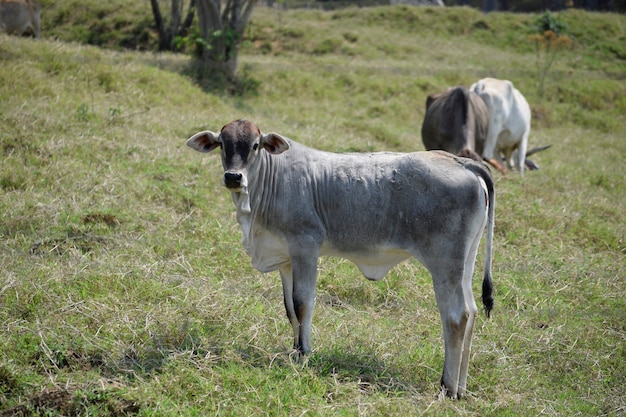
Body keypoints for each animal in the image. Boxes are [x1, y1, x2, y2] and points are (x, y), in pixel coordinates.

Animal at [185, 119, 492, 396]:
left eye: (255, 145)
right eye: (223, 144)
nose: (233, 177)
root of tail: (460, 161)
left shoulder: (306, 246)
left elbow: (302, 304)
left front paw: (304, 353)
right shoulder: (286, 258)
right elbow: (289, 308)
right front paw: (294, 352)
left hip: (445, 263)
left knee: (456, 316)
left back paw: (447, 387)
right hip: (465, 264)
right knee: (472, 312)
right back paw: (461, 387)